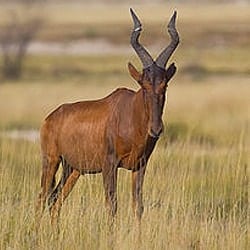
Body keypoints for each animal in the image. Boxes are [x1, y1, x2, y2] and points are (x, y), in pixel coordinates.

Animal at [36, 8, 179, 225]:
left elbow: (138, 206)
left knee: (55, 200)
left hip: (73, 169)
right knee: (42, 198)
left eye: (165, 85)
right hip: (51, 160)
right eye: (143, 85)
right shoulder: (109, 165)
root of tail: (50, 118)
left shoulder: (140, 166)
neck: (130, 113)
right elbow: (112, 206)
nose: (156, 129)